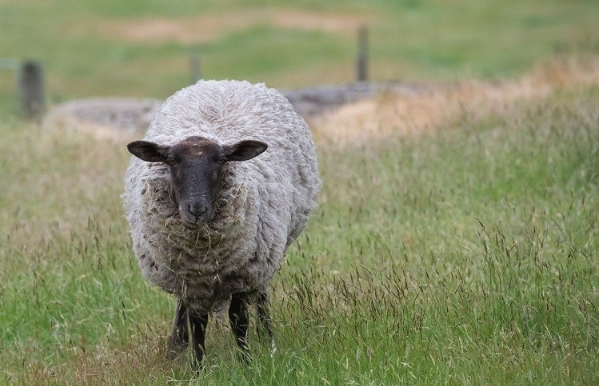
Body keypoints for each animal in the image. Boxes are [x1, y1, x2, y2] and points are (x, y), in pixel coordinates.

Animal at [120, 80, 324, 366]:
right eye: (171, 161)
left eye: (220, 160)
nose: (196, 209)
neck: (203, 254)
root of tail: (226, 82)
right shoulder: (191, 278)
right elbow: (197, 322)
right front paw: (196, 366)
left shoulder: (242, 272)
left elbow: (239, 320)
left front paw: (247, 363)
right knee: (183, 308)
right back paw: (176, 347)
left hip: (266, 254)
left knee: (261, 295)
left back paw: (268, 339)